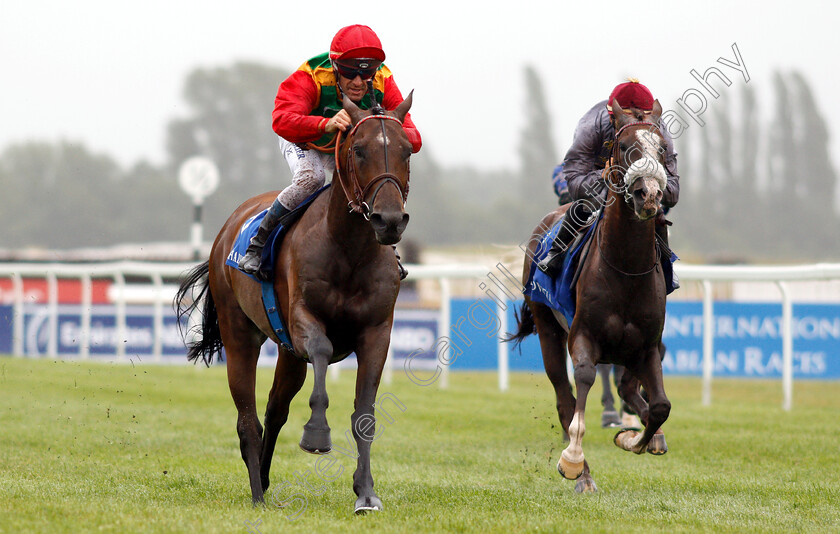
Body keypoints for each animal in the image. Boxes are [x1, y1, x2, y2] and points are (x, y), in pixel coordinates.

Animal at [175, 93, 416, 516]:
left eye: (406, 150)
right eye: (358, 149)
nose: (388, 220)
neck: (349, 250)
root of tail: (226, 229)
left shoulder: (377, 333)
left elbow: (364, 415)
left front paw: (366, 492)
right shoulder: (304, 318)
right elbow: (320, 350)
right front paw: (317, 434)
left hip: (287, 352)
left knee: (275, 409)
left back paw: (264, 477)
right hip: (241, 335)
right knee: (248, 419)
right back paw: (257, 492)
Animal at [508, 99, 672, 494]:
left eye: (662, 149)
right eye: (626, 147)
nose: (649, 195)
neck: (626, 268)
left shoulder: (647, 344)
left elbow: (659, 406)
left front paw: (633, 438)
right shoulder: (583, 335)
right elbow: (582, 385)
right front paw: (573, 461)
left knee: (627, 389)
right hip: (548, 329)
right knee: (563, 396)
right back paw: (582, 473)